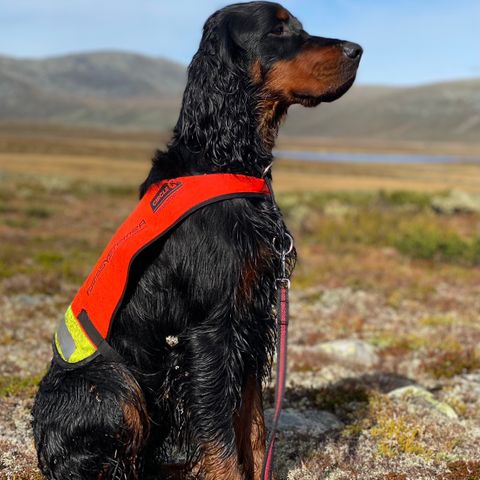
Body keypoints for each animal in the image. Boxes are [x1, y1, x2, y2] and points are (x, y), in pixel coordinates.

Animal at [31, 1, 360, 478]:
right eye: (278, 30)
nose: (358, 50)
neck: (226, 160)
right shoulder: (209, 329)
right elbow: (220, 435)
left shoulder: (250, 317)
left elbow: (253, 424)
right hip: (113, 384)